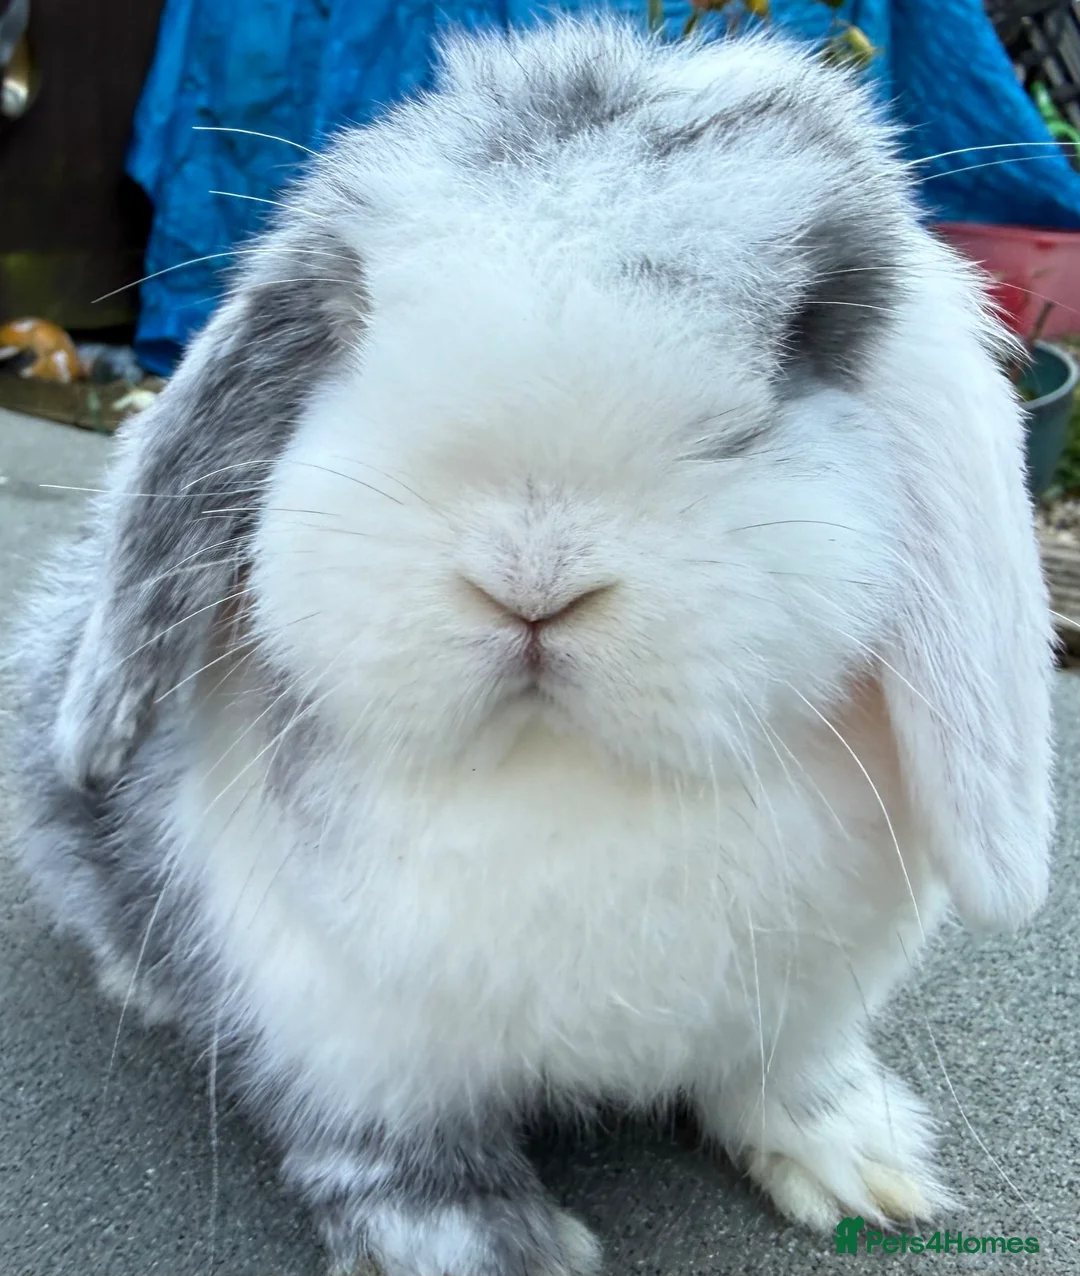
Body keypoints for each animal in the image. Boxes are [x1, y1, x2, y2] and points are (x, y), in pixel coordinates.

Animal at [5, 16, 1054, 1276]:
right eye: (355, 318)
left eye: (806, 336)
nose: (531, 579)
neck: (566, 774)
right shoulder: (344, 1033)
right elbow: (398, 1158)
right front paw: (501, 1250)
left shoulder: (808, 998)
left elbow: (784, 1075)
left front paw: (861, 1163)